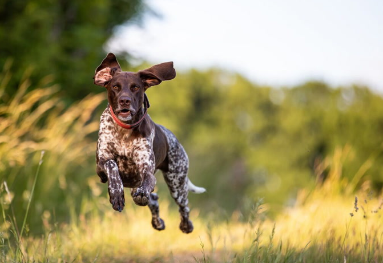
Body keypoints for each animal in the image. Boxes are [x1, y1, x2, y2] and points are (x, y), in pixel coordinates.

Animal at [93, 52, 207, 234]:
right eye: (115, 87)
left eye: (135, 87)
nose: (125, 101)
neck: (124, 131)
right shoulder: (101, 165)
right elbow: (112, 166)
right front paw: (116, 194)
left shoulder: (146, 170)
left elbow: (147, 181)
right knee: (152, 199)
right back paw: (157, 221)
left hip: (177, 182)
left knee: (182, 206)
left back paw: (185, 225)